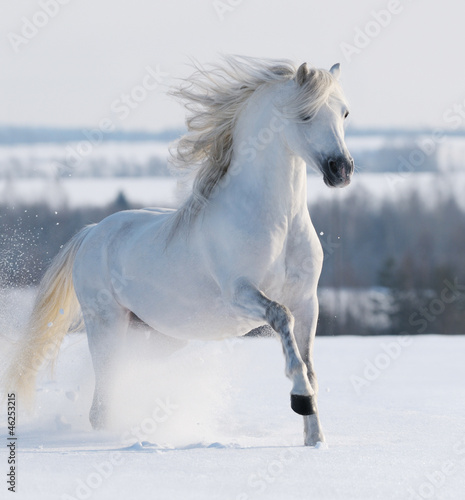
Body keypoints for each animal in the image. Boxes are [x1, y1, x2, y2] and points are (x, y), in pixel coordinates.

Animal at [3, 54, 354, 446]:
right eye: (305, 115)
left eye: (344, 113)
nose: (342, 170)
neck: (279, 222)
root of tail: (92, 232)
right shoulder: (241, 294)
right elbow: (283, 322)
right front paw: (300, 400)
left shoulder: (308, 301)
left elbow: (309, 363)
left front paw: (315, 437)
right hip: (106, 324)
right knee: (101, 403)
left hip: (156, 336)